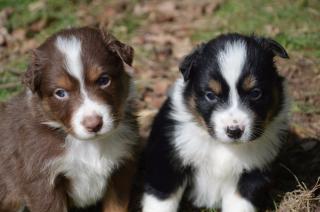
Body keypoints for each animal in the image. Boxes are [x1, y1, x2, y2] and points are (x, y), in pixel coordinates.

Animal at [0, 26, 139, 212]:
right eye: (60, 93)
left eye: (104, 80)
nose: (94, 124)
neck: (88, 145)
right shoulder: (43, 182)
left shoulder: (120, 169)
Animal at [141, 33, 288, 212]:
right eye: (211, 95)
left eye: (255, 93)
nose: (234, 131)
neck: (223, 146)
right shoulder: (167, 159)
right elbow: (161, 199)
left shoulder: (253, 172)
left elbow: (240, 203)